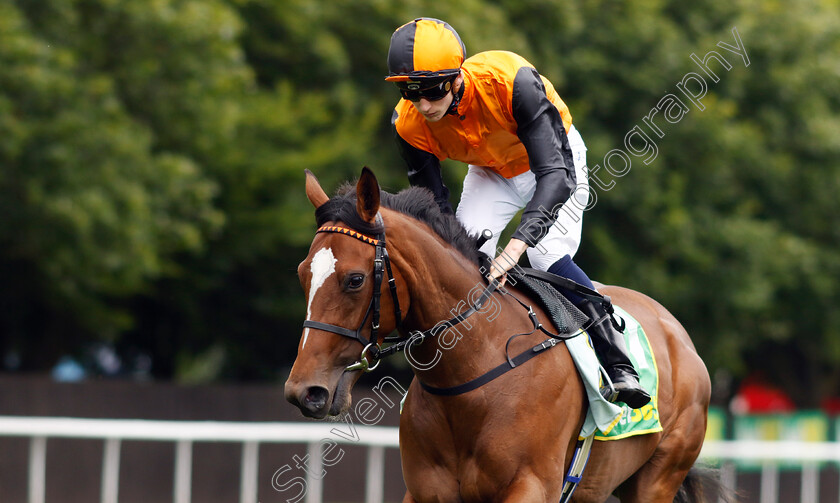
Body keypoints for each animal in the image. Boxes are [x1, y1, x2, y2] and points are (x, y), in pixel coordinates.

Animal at [288, 167, 720, 502]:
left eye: (355, 279)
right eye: (302, 274)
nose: (304, 391)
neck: (475, 370)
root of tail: (677, 333)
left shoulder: (531, 486)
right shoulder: (427, 491)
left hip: (659, 475)